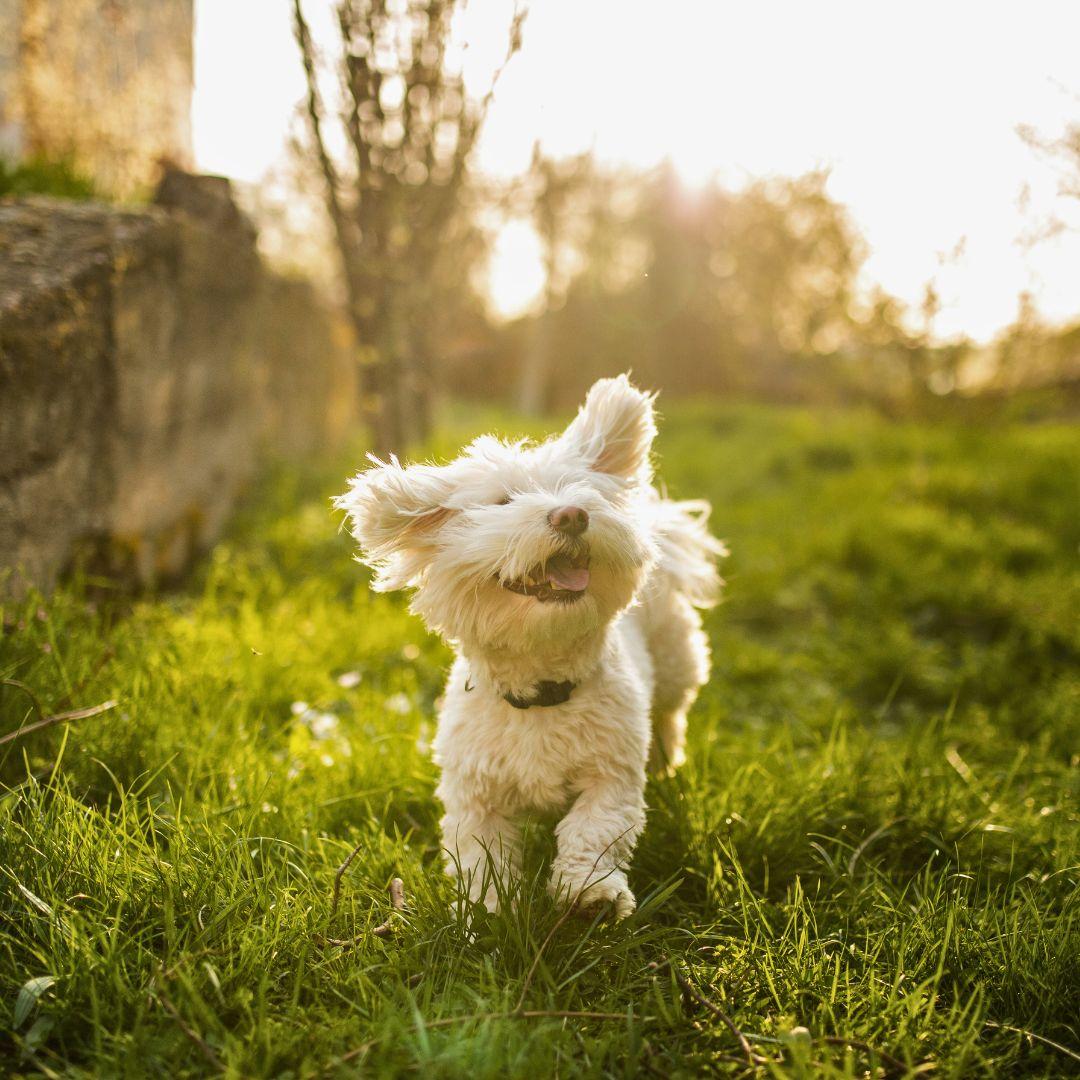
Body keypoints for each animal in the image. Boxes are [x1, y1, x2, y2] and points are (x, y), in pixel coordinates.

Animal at [336, 375, 725, 915]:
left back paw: (667, 761)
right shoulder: (475, 794)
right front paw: (485, 910)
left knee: (670, 713)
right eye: (503, 502)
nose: (572, 514)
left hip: (675, 661)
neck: (541, 687)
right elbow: (481, 854)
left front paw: (591, 893)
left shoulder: (611, 775)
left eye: (579, 490)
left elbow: (594, 827)